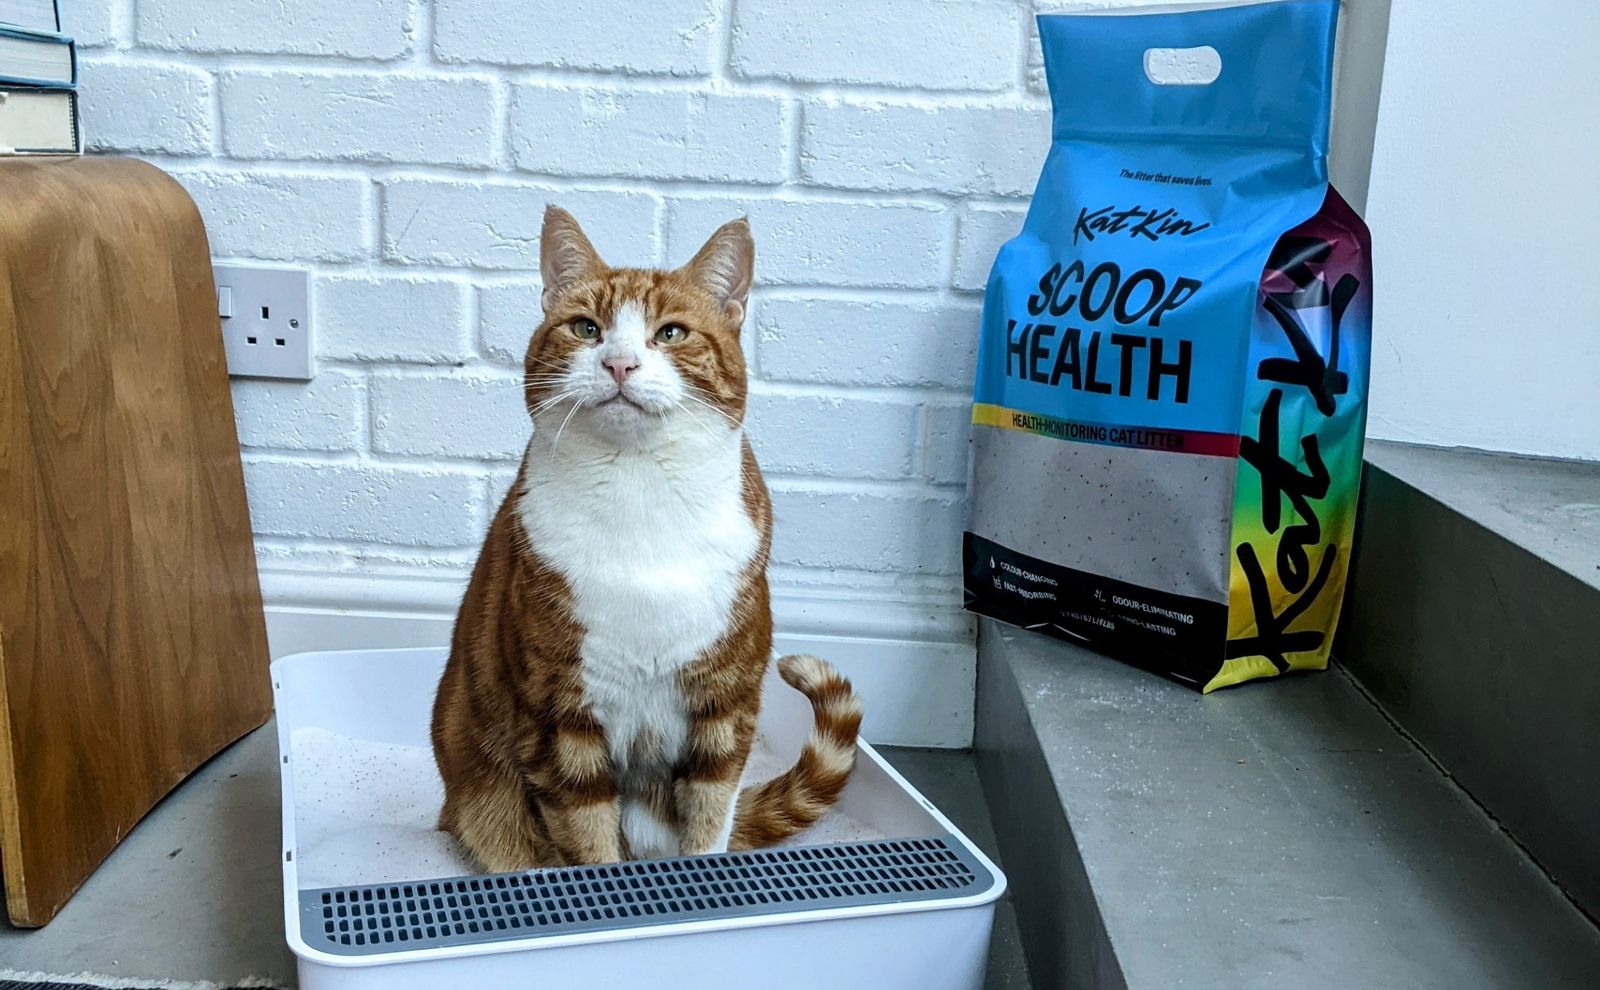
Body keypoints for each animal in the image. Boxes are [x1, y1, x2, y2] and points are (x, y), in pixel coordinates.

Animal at [428, 207, 864, 870]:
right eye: (586, 328)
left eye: (671, 334)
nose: (620, 364)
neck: (640, 493)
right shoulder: (560, 717)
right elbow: (587, 835)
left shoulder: (725, 706)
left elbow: (709, 820)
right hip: (484, 795)